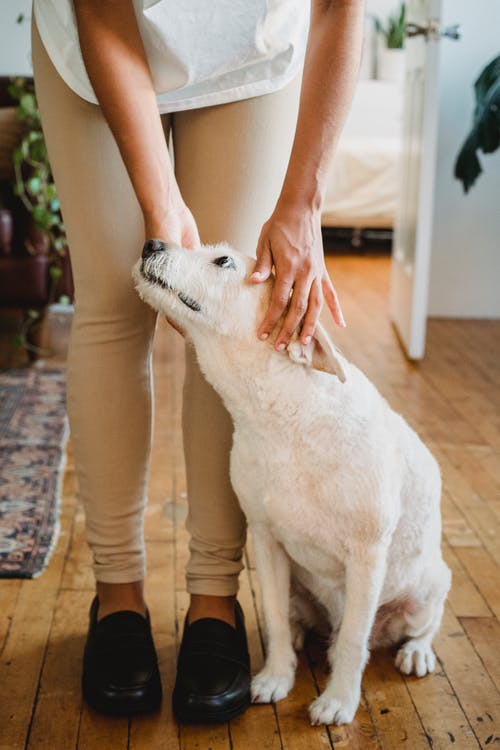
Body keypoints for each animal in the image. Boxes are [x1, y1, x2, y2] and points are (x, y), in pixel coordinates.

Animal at [133, 241, 454, 728]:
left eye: (223, 261)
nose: (152, 244)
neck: (284, 416)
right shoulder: (265, 540)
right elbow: (275, 616)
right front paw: (276, 676)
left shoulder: (366, 555)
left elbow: (354, 639)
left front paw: (339, 699)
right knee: (299, 617)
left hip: (425, 591)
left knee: (419, 625)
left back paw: (416, 652)